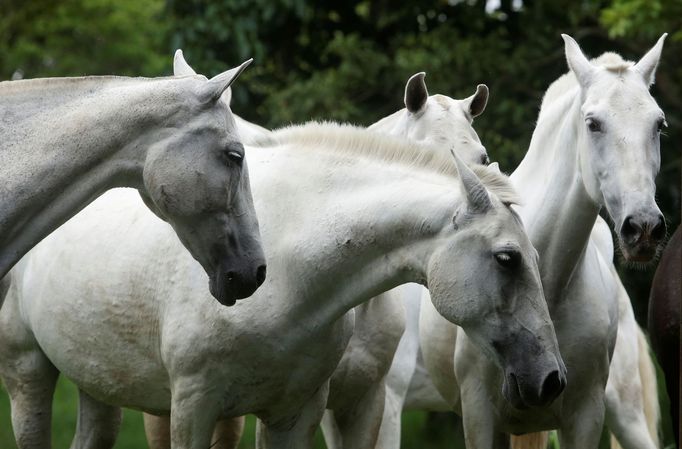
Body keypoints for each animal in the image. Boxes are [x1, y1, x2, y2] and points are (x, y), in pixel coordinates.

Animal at [0, 122, 564, 448]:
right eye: (508, 259)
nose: (551, 379)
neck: (288, 268)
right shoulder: (193, 407)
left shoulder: (295, 413)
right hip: (29, 371)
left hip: (97, 383)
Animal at [412, 33, 668, 446]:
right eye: (593, 123)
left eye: (658, 124)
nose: (643, 227)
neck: (548, 279)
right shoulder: (480, 416)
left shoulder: (586, 415)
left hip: (627, 415)